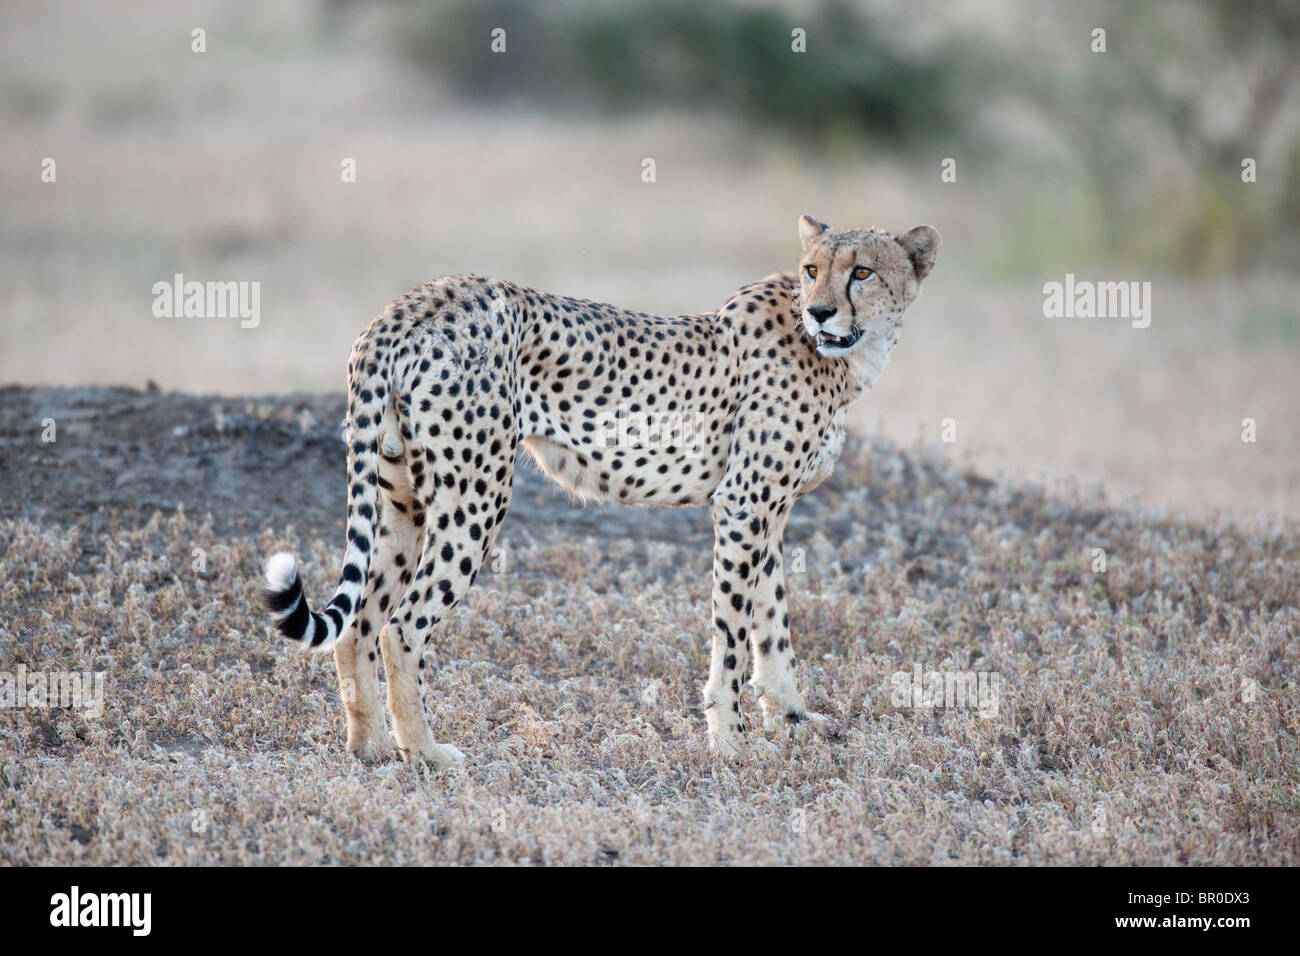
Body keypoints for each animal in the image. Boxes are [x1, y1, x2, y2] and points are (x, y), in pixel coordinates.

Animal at [261, 214, 935, 764]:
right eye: (812, 271)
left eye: (862, 272)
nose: (819, 312)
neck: (843, 359)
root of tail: (419, 298)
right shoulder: (743, 505)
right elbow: (734, 635)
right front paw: (732, 743)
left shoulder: (769, 511)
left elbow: (772, 622)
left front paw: (792, 717)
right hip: (475, 496)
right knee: (402, 626)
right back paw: (426, 752)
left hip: (401, 498)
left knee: (360, 624)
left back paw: (371, 747)